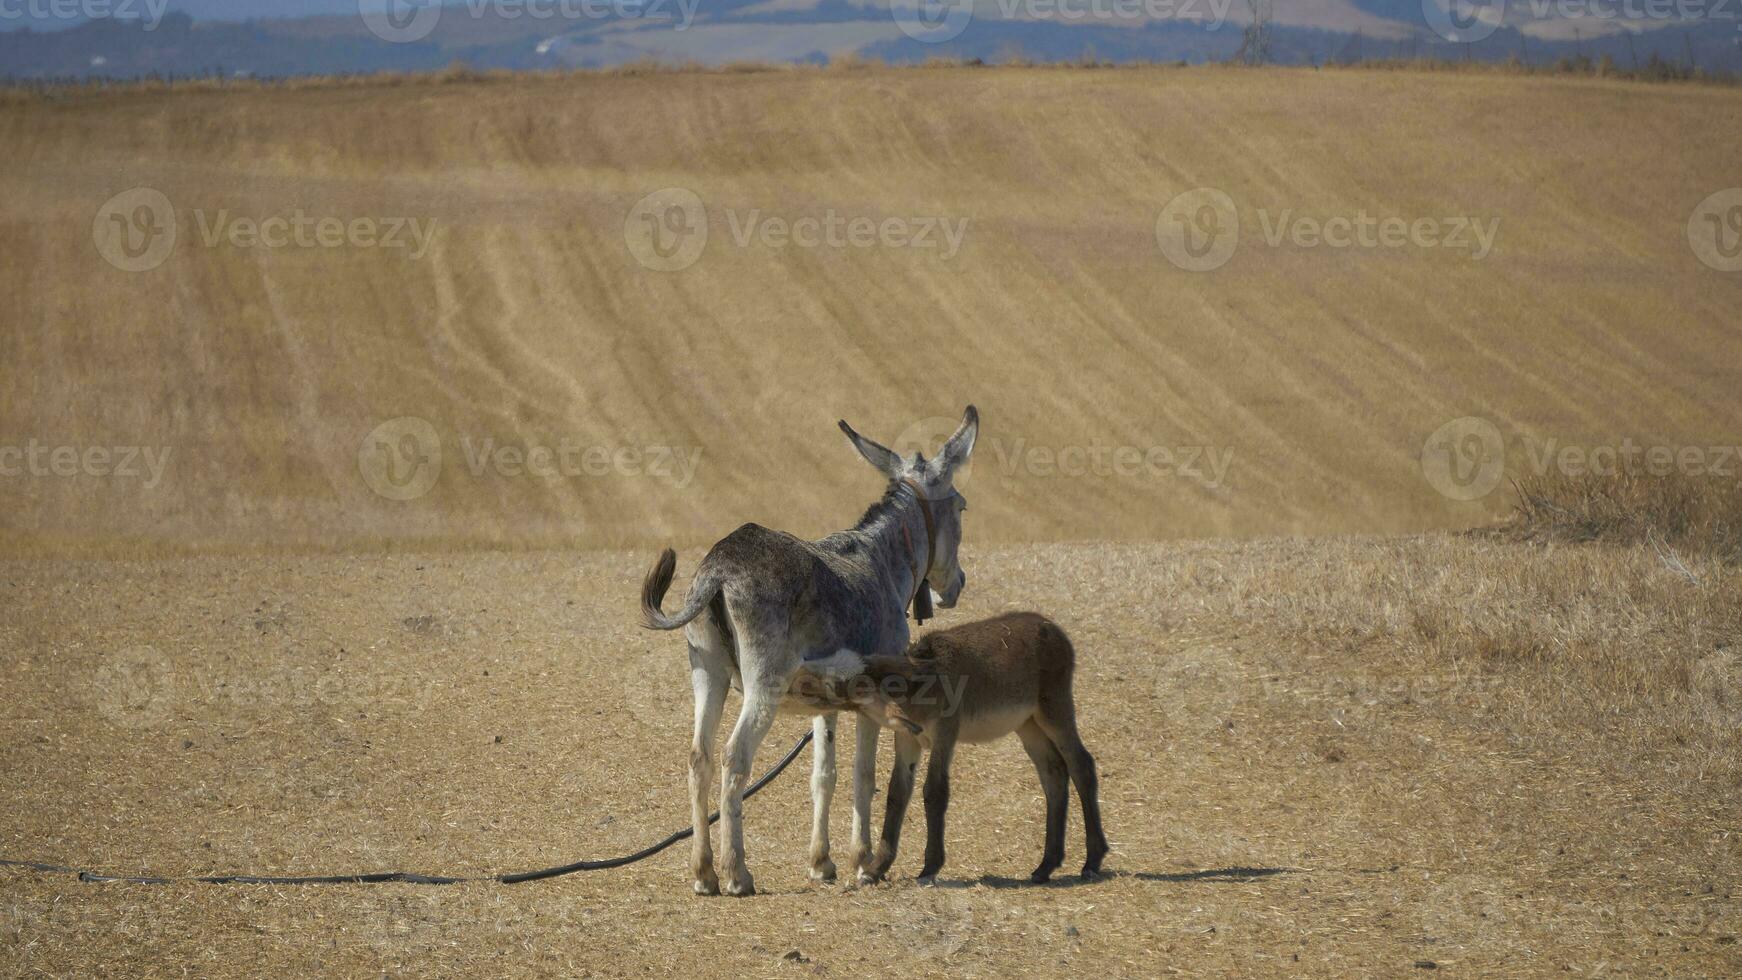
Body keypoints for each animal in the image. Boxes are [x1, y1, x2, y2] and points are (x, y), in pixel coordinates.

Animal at [811, 612, 1107, 880]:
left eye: (851, 683)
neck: (919, 686)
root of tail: (1053, 629)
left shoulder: (945, 735)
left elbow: (934, 791)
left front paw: (930, 867)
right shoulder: (908, 740)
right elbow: (897, 793)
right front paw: (876, 869)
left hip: (1054, 709)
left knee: (1081, 765)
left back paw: (1092, 861)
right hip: (1028, 724)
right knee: (1053, 772)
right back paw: (1046, 866)